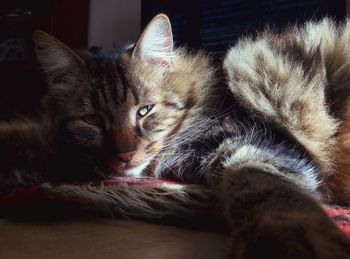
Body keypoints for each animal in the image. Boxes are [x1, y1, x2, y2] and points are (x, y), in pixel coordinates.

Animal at [2, 14, 350, 259]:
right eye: (93, 120)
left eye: (144, 111)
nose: (125, 154)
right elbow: (23, 136)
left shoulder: (253, 141)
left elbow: (262, 186)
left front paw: (285, 243)